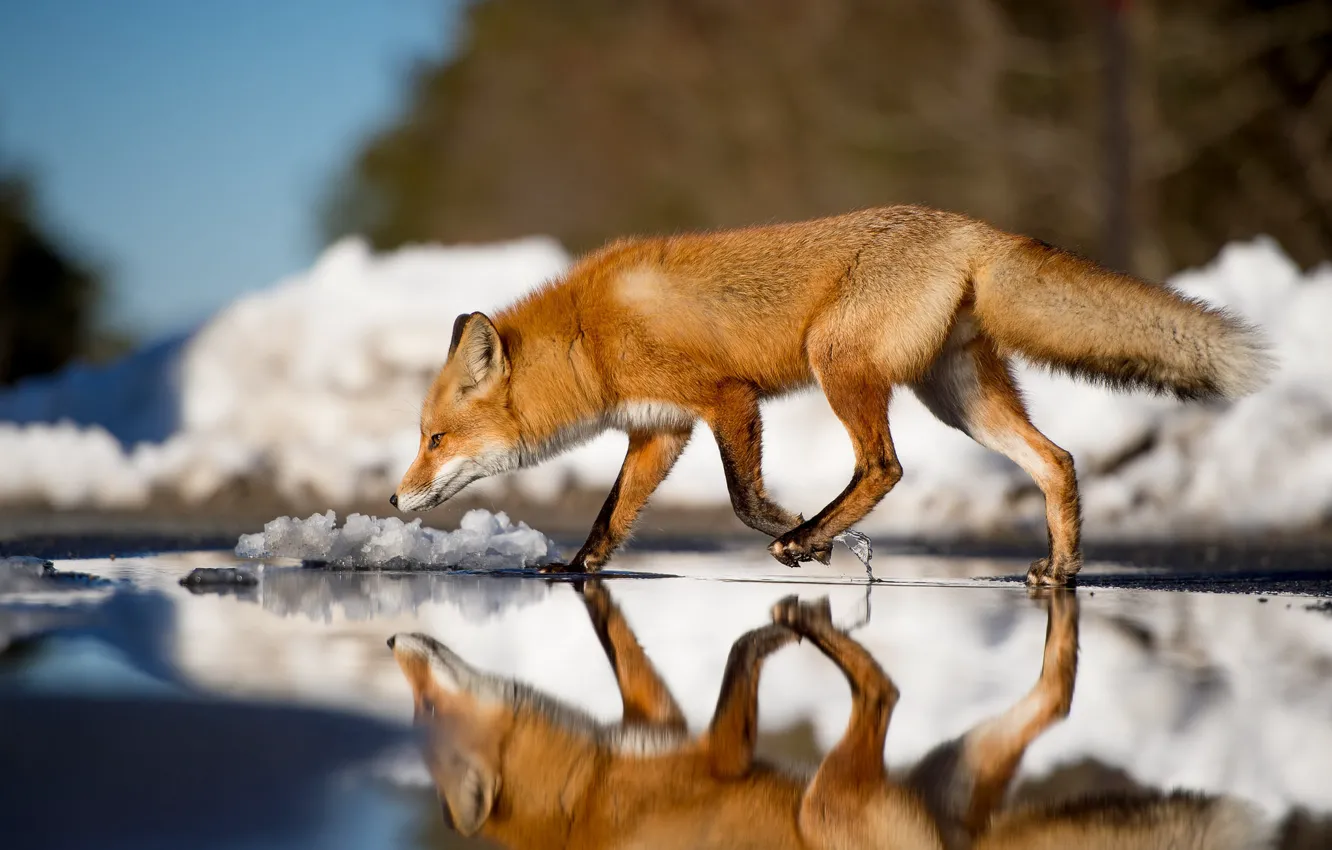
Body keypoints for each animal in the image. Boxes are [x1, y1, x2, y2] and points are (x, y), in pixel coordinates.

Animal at [388, 581, 1271, 849]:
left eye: (425, 700)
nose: (393, 638)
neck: (587, 794)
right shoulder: (664, 722)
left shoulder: (713, 751)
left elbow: (740, 675)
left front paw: (774, 632)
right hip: (938, 777)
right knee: (1033, 707)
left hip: (829, 806)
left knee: (886, 695)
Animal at [390, 206, 1271, 584]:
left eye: (434, 439)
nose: (396, 499)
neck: (588, 335)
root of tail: (970, 227)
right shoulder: (659, 431)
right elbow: (611, 518)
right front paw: (575, 569)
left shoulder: (726, 398)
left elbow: (744, 499)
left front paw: (798, 529)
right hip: (957, 398)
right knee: (1056, 460)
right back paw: (1060, 571)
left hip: (837, 363)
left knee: (884, 467)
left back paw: (812, 535)